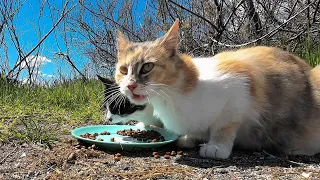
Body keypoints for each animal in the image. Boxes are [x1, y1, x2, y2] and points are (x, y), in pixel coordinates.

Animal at [114, 19, 320, 159]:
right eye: (123, 70)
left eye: (147, 67)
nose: (130, 85)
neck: (170, 97)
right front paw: (189, 137)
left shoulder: (238, 88)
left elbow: (224, 125)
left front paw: (217, 146)